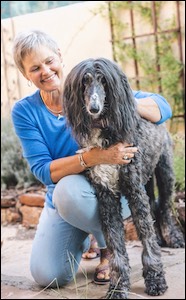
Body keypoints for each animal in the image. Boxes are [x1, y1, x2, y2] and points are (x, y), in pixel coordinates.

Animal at [62, 57, 185, 298]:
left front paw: (156, 280)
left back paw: (172, 238)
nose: (94, 108)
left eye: (103, 81)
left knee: (164, 207)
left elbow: (145, 235)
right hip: (146, 180)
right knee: (154, 206)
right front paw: (118, 286)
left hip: (164, 171)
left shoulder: (134, 189)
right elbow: (115, 243)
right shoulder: (107, 195)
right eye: (85, 81)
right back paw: (160, 238)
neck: (104, 131)